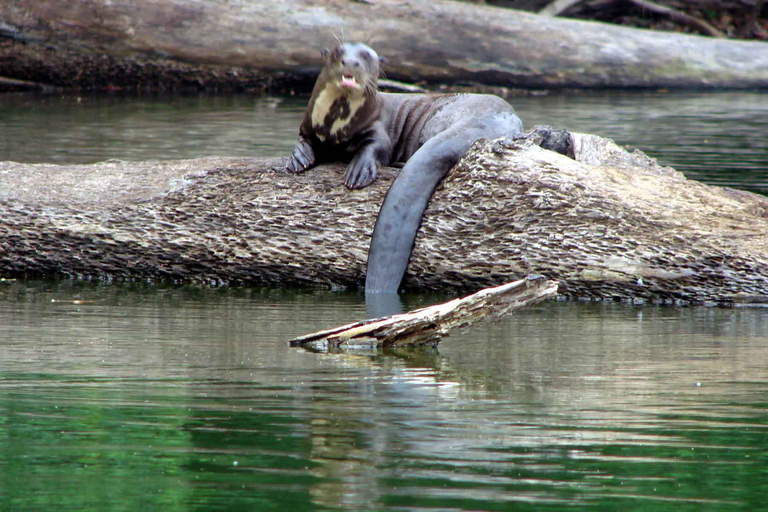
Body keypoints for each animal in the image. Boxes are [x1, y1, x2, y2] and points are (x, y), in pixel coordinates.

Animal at [284, 43, 524, 294]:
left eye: (366, 56)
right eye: (339, 51)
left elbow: (377, 146)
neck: (335, 124)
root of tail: (486, 121)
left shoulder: (377, 127)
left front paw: (359, 170)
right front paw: (298, 158)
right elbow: (302, 138)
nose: (350, 62)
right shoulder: (308, 123)